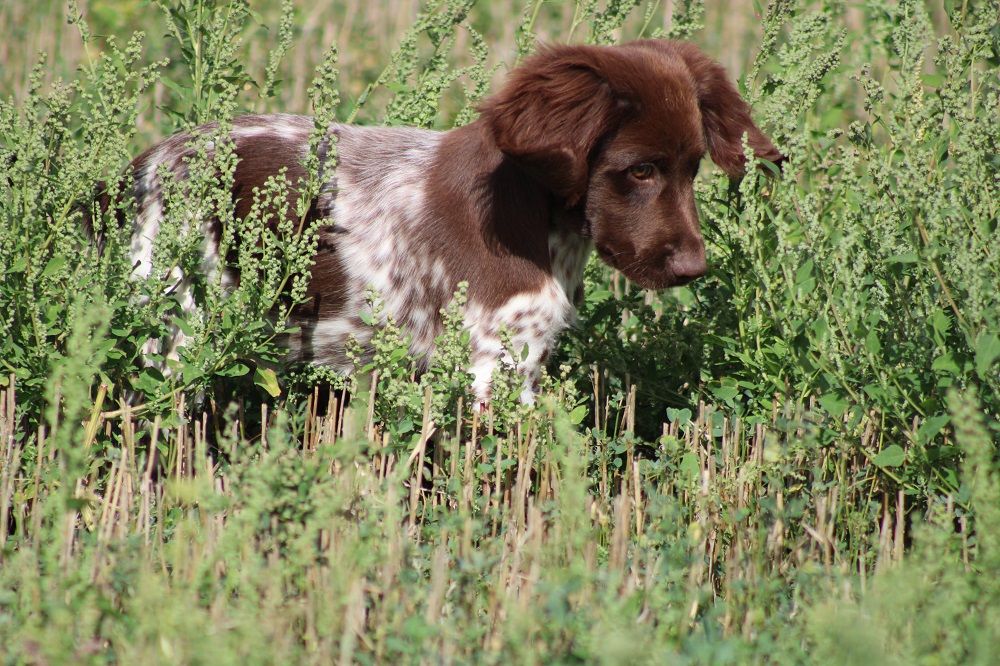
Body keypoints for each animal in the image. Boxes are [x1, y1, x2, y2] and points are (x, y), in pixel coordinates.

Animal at [123, 42, 780, 404]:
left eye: (694, 168)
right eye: (640, 170)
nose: (694, 268)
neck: (533, 220)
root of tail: (147, 163)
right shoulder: (493, 363)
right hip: (177, 323)